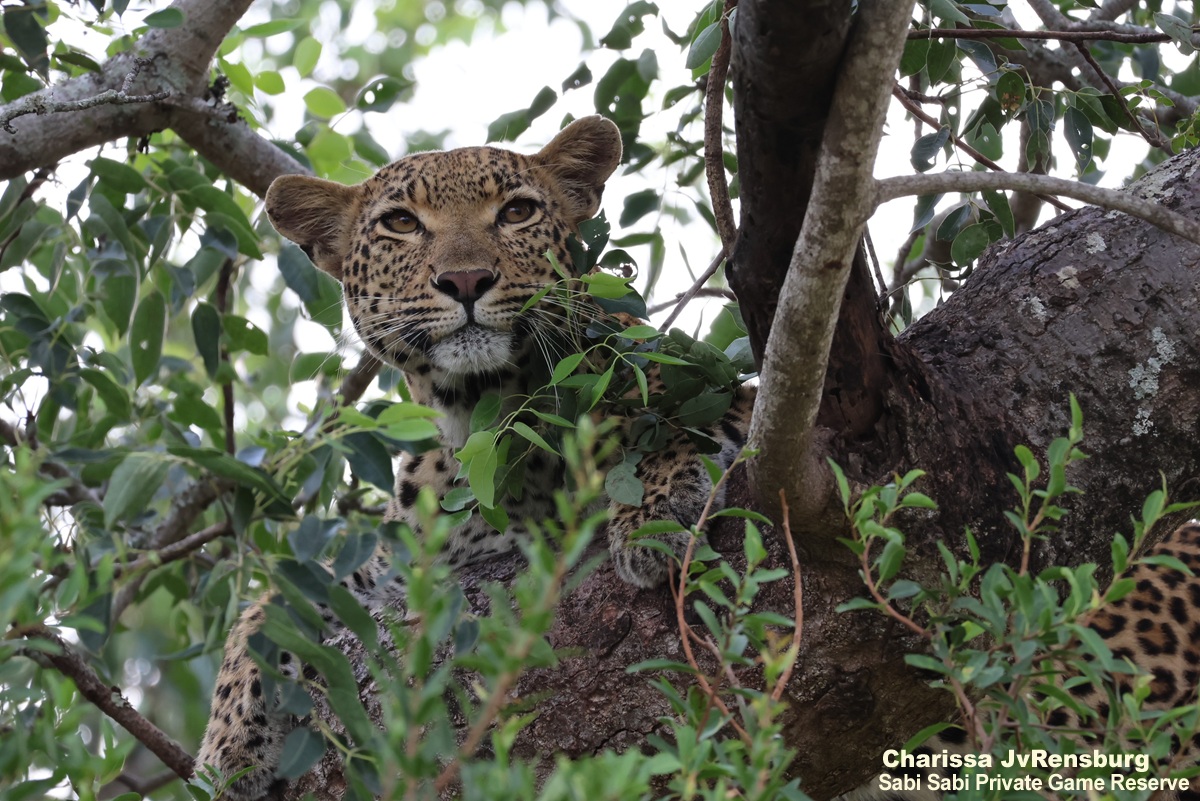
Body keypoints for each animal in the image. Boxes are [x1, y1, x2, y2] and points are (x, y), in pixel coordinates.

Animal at [195, 115, 752, 799]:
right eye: (401, 223)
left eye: (516, 212)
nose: (465, 281)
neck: (481, 417)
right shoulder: (397, 560)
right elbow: (264, 608)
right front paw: (224, 750)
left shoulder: (736, 400)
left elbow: (677, 429)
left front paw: (652, 515)